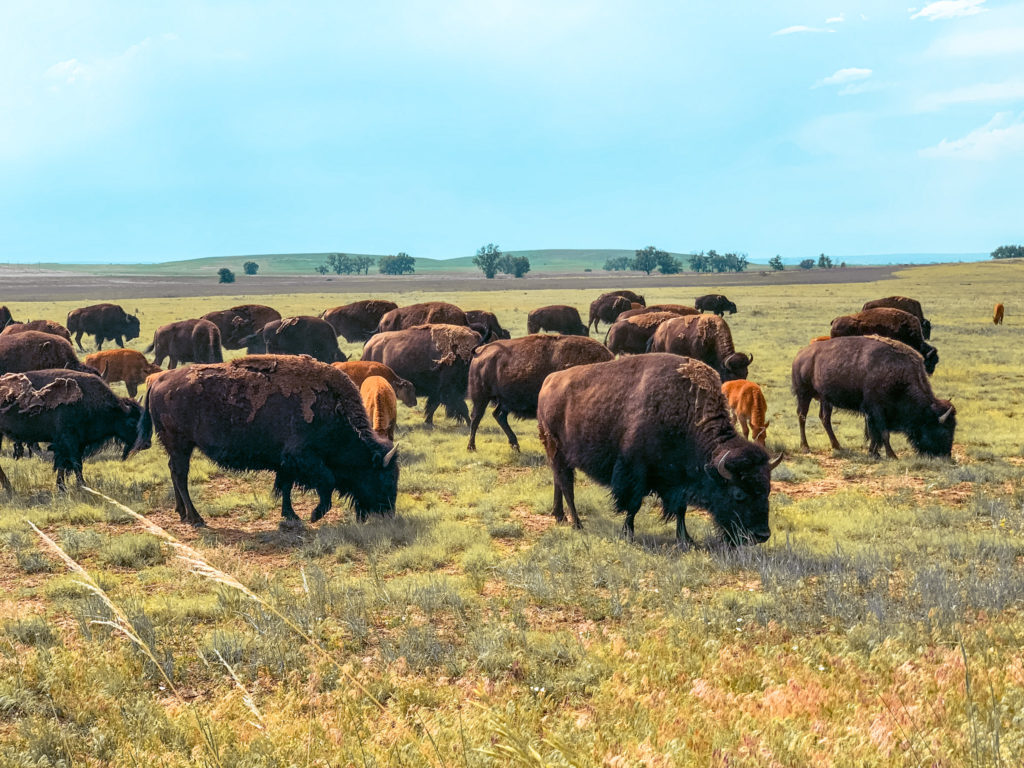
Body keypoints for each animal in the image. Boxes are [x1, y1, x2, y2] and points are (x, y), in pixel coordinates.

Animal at [0, 370, 144, 493]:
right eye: (132, 422)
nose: (145, 444)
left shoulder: (73, 444)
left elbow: (64, 465)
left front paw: (63, 487)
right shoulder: (69, 441)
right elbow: (75, 464)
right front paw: (81, 485)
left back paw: (9, 488)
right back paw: (9, 488)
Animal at [138, 356, 401, 528]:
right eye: (384, 477)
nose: (388, 513)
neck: (334, 409)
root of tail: (158, 380)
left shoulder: (286, 463)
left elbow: (285, 487)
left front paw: (291, 515)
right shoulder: (303, 458)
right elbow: (326, 483)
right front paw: (313, 515)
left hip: (178, 448)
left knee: (175, 473)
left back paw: (182, 513)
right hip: (181, 445)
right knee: (180, 475)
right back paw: (196, 519)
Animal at [468, 335, 610, 454]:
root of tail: (480, 351)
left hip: (504, 401)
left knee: (498, 416)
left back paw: (515, 446)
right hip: (481, 397)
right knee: (476, 418)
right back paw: (472, 447)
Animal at [536, 354, 782, 548]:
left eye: (768, 489)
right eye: (738, 494)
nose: (762, 535)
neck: (686, 412)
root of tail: (548, 381)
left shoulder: (679, 480)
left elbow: (681, 509)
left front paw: (686, 539)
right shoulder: (634, 473)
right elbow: (633, 505)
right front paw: (628, 535)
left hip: (560, 457)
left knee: (559, 481)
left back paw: (559, 516)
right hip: (557, 450)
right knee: (567, 485)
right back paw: (577, 524)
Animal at [790, 335, 958, 456]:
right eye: (943, 430)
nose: (946, 456)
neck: (897, 372)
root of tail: (800, 354)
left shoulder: (872, 412)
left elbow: (875, 433)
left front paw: (874, 453)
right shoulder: (877, 409)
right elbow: (883, 433)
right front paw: (891, 455)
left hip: (825, 399)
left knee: (825, 418)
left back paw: (838, 446)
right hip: (804, 394)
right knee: (802, 416)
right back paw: (805, 447)